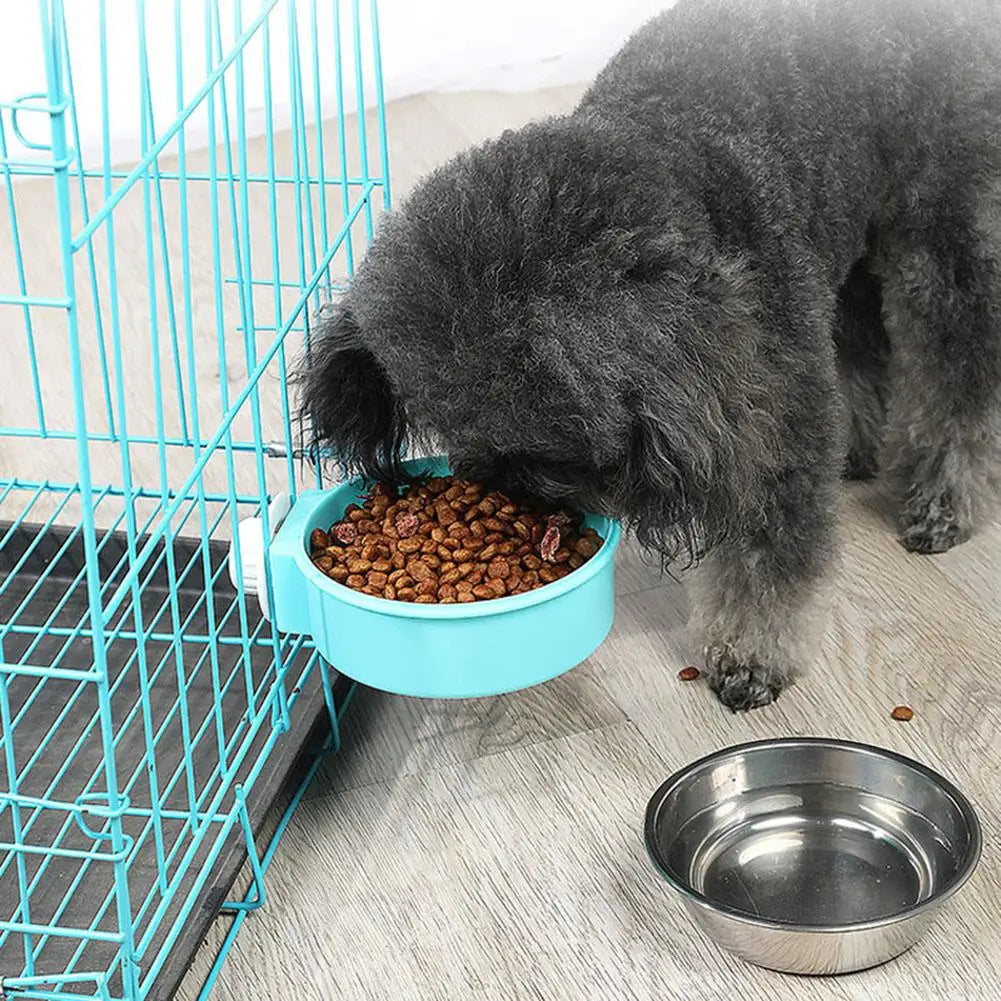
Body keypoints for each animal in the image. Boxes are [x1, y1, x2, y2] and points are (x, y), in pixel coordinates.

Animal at [296, 0, 1001, 716]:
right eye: (458, 435)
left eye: (546, 454)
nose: (508, 493)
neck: (674, 168)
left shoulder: (771, 415)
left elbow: (769, 556)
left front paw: (751, 657)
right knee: (862, 334)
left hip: (944, 231)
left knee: (957, 382)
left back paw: (941, 502)